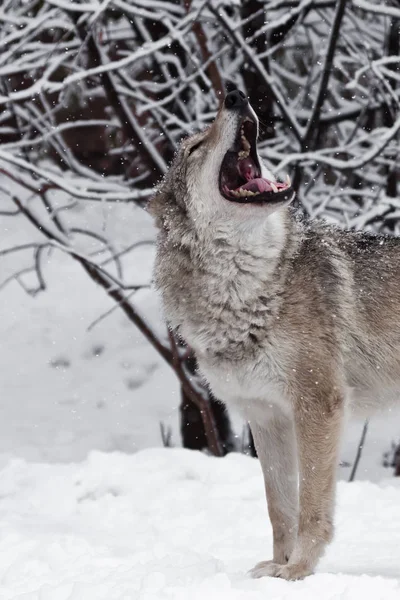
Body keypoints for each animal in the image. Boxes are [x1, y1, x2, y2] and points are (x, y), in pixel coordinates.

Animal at [148, 90, 400, 580]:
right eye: (194, 148)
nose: (235, 94)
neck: (246, 289)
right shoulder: (265, 416)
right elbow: (279, 506)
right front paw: (275, 567)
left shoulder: (317, 404)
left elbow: (311, 505)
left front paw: (298, 570)